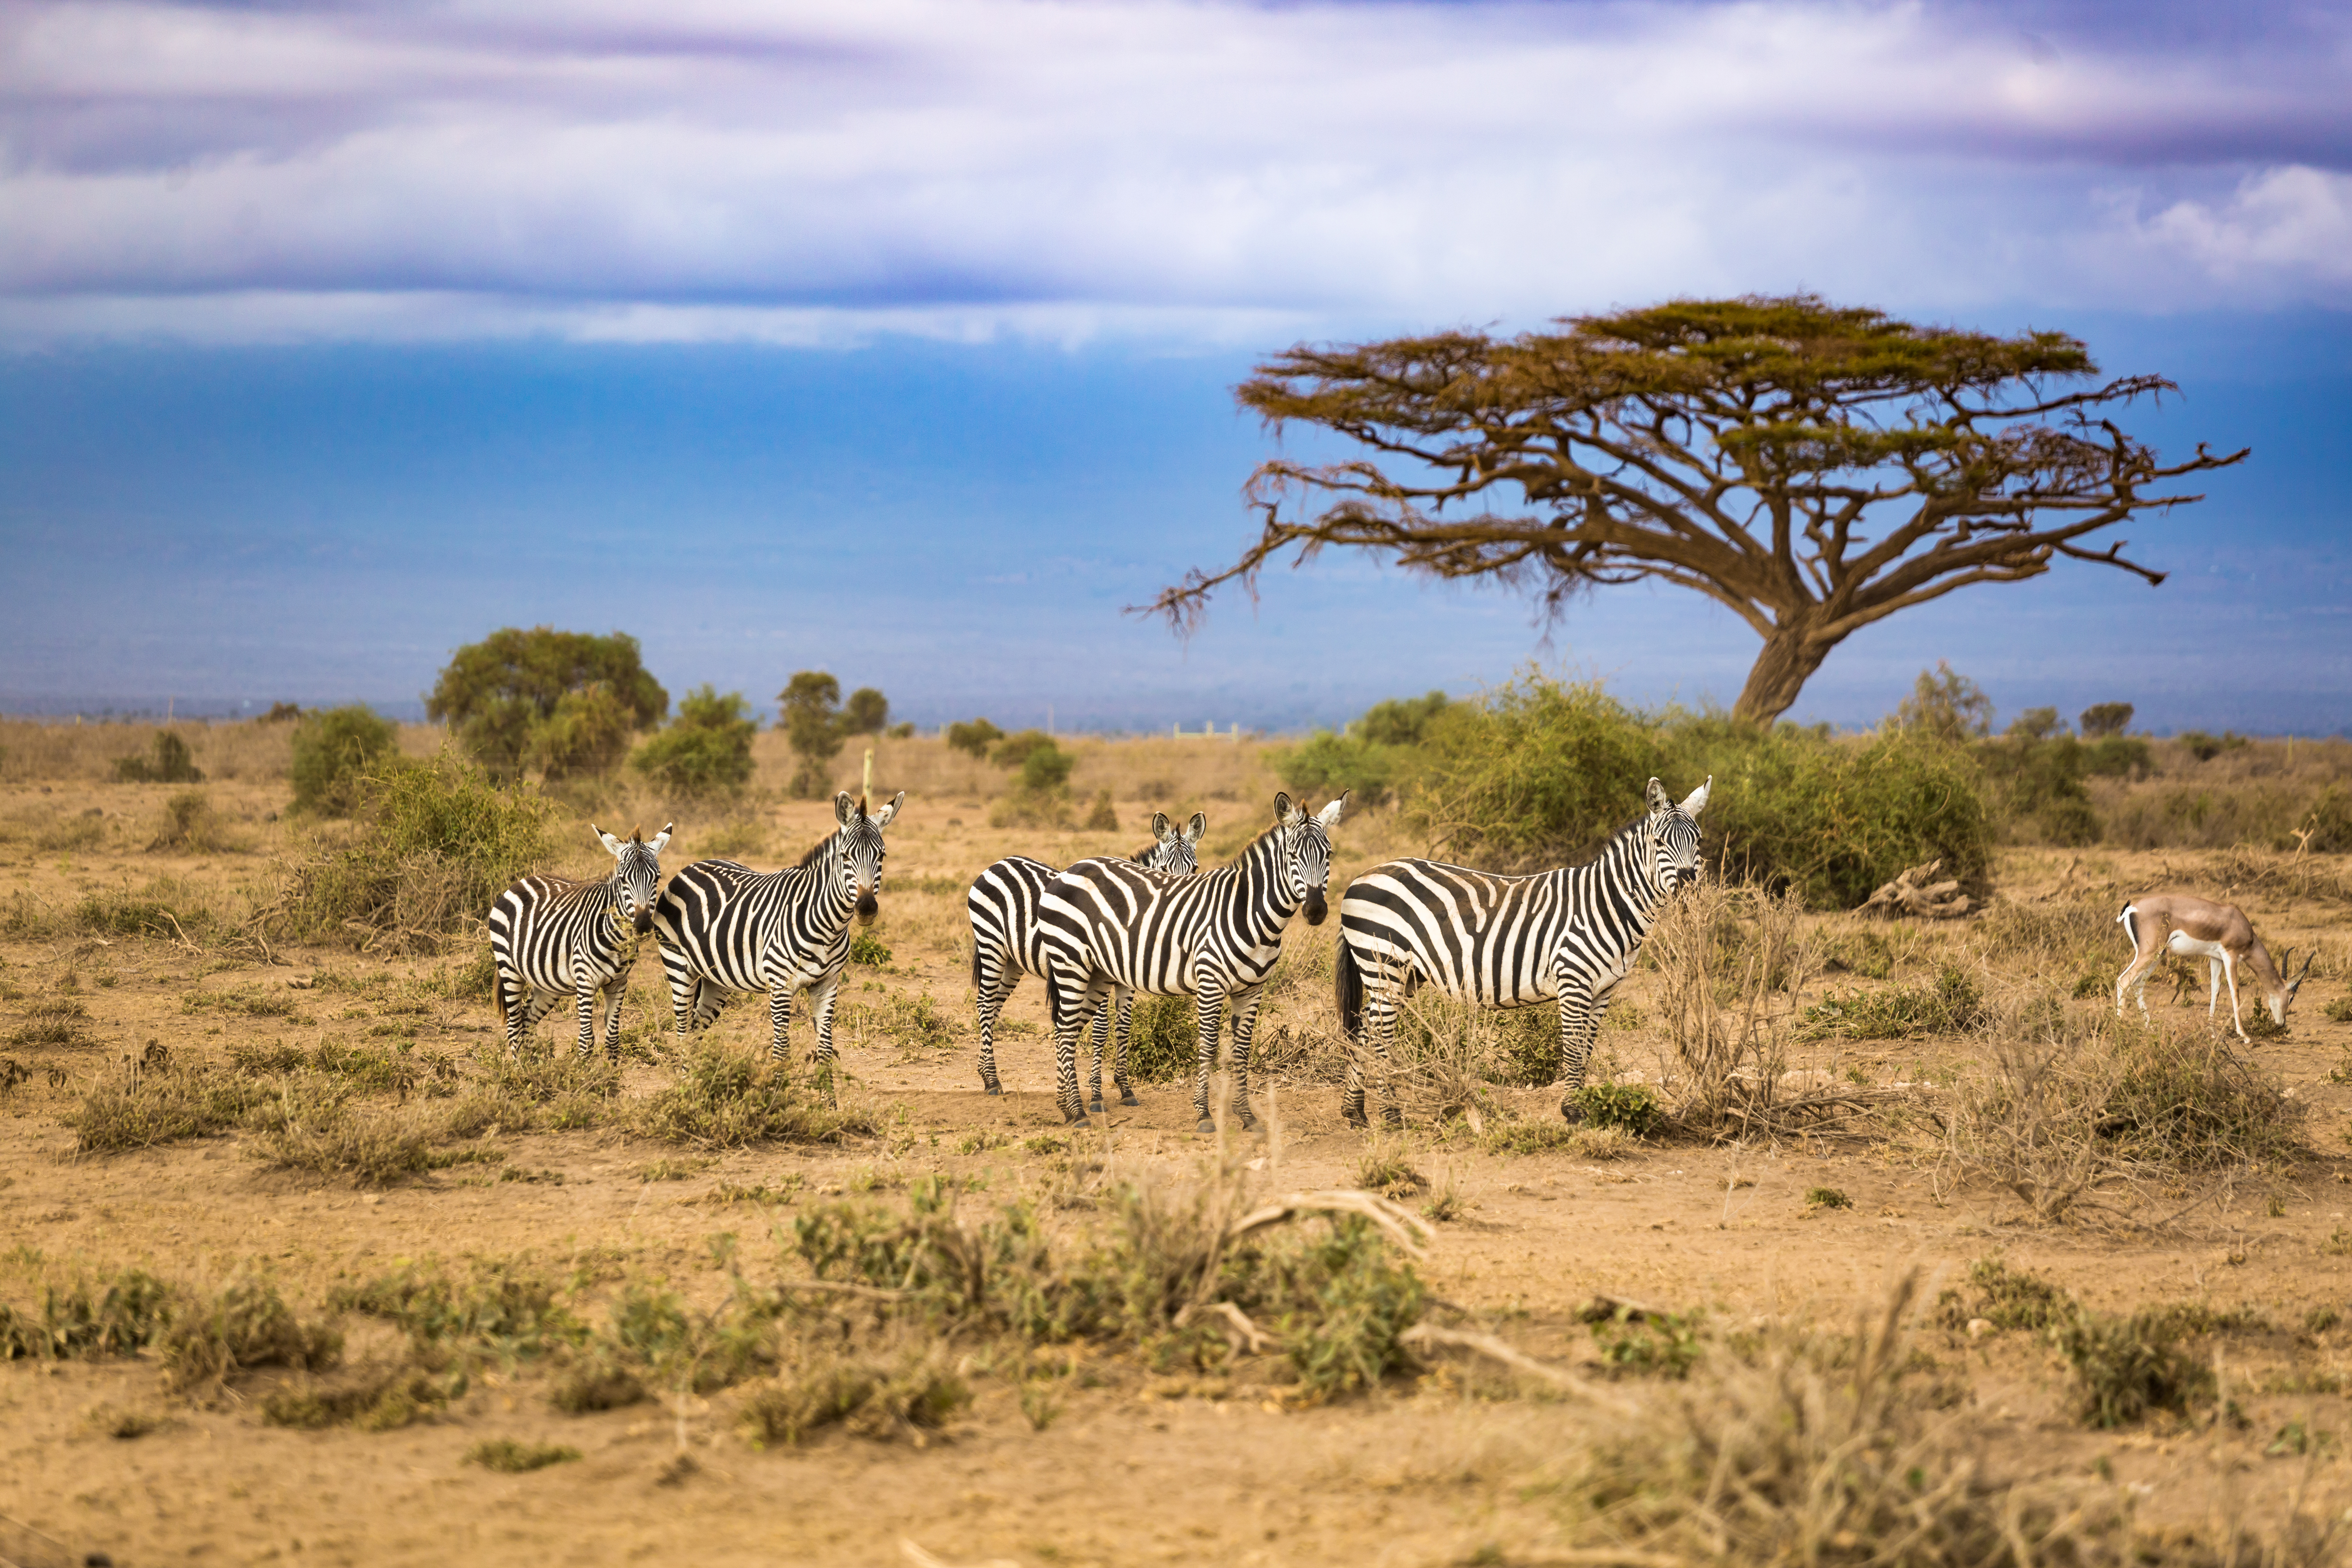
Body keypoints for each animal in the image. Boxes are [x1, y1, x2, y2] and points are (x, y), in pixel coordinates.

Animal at [487, 822, 672, 1060]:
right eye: (623, 879)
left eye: (657, 878)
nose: (643, 926)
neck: (618, 942)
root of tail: (522, 881)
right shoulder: (585, 980)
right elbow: (586, 1040)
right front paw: (583, 1071)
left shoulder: (619, 984)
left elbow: (613, 1040)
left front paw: (611, 1071)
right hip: (508, 968)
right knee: (514, 1027)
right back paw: (519, 1068)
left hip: (547, 984)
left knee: (526, 1021)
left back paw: (533, 1066)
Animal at [649, 791, 903, 1084]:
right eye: (845, 856)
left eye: (882, 855)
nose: (866, 908)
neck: (830, 926)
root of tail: (693, 866)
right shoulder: (781, 987)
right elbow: (781, 1052)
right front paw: (776, 1095)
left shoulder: (827, 985)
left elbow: (825, 1051)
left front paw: (828, 1098)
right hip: (678, 966)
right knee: (682, 1030)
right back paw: (687, 1086)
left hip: (716, 979)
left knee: (695, 1030)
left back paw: (698, 1084)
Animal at [968, 811, 1207, 1112]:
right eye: (1163, 869)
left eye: (1195, 869)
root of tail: (999, 863)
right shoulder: (1099, 973)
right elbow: (1101, 1030)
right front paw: (1096, 1095)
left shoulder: (1126, 981)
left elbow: (1124, 1028)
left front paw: (1125, 1089)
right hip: (991, 946)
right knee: (985, 1004)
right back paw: (992, 1081)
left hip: (1013, 962)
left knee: (994, 1007)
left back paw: (985, 1072)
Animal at [1039, 791, 1346, 1131]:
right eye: (1292, 855)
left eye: (1329, 854)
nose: (1316, 911)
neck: (1249, 913)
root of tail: (1072, 867)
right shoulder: (1210, 983)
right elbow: (1209, 1046)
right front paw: (1204, 1114)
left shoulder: (1252, 990)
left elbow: (1242, 1050)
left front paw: (1247, 1115)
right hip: (1071, 963)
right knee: (1067, 1030)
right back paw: (1079, 1111)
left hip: (1094, 972)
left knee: (1066, 1030)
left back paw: (1067, 1108)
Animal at [1333, 776, 1708, 1127]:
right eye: (1659, 843)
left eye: (1699, 841)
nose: (1688, 886)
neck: (1607, 904)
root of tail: (1362, 876)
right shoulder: (1573, 980)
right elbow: (1574, 1051)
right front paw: (1574, 1111)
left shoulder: (1606, 989)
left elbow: (1587, 1051)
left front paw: (1585, 1108)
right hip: (1385, 964)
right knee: (1380, 1036)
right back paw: (1391, 1115)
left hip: (1405, 974)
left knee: (1365, 1029)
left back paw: (1355, 1112)